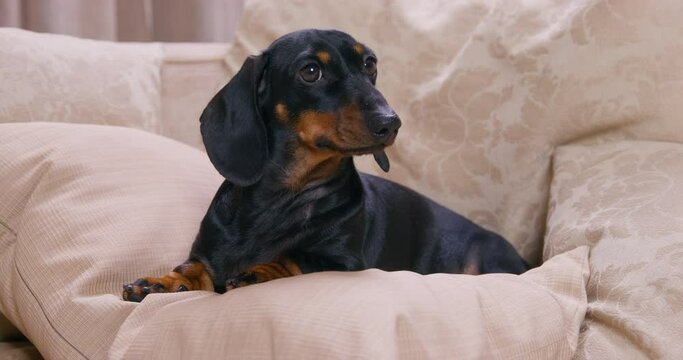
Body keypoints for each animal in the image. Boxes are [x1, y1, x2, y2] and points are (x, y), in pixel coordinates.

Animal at [123, 29, 528, 302]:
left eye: (370, 64)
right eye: (310, 71)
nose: (391, 123)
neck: (282, 196)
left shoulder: (345, 262)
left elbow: (296, 255)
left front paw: (259, 271)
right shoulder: (207, 255)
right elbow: (193, 268)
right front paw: (160, 282)